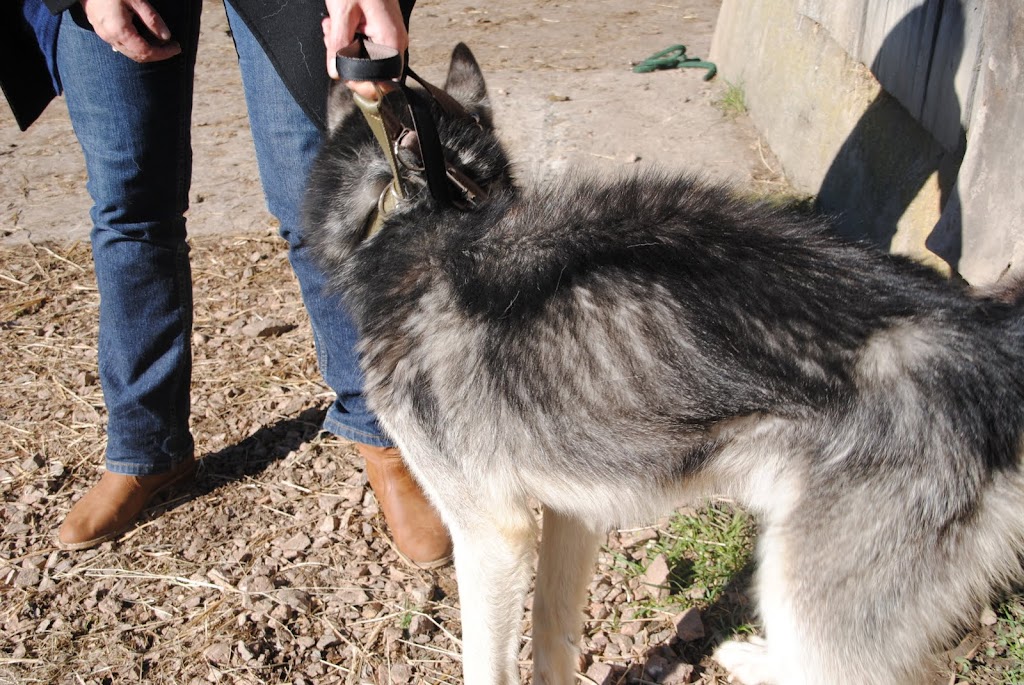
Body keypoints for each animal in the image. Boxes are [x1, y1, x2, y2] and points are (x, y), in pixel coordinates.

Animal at [303, 43, 1024, 685]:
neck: (423, 215)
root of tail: (982, 332)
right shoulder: (573, 508)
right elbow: (552, 632)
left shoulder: (491, 533)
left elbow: (488, 660)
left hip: (808, 600)